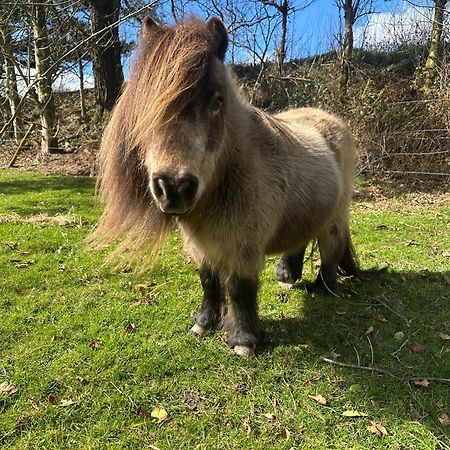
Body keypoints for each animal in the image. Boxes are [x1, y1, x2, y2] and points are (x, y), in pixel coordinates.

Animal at [90, 16, 384, 356]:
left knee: (330, 249)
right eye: (147, 105)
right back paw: (287, 277)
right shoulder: (201, 246)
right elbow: (208, 281)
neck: (226, 179)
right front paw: (204, 325)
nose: (174, 187)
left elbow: (239, 288)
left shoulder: (244, 245)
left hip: (335, 218)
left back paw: (323, 289)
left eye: (218, 101)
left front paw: (244, 341)